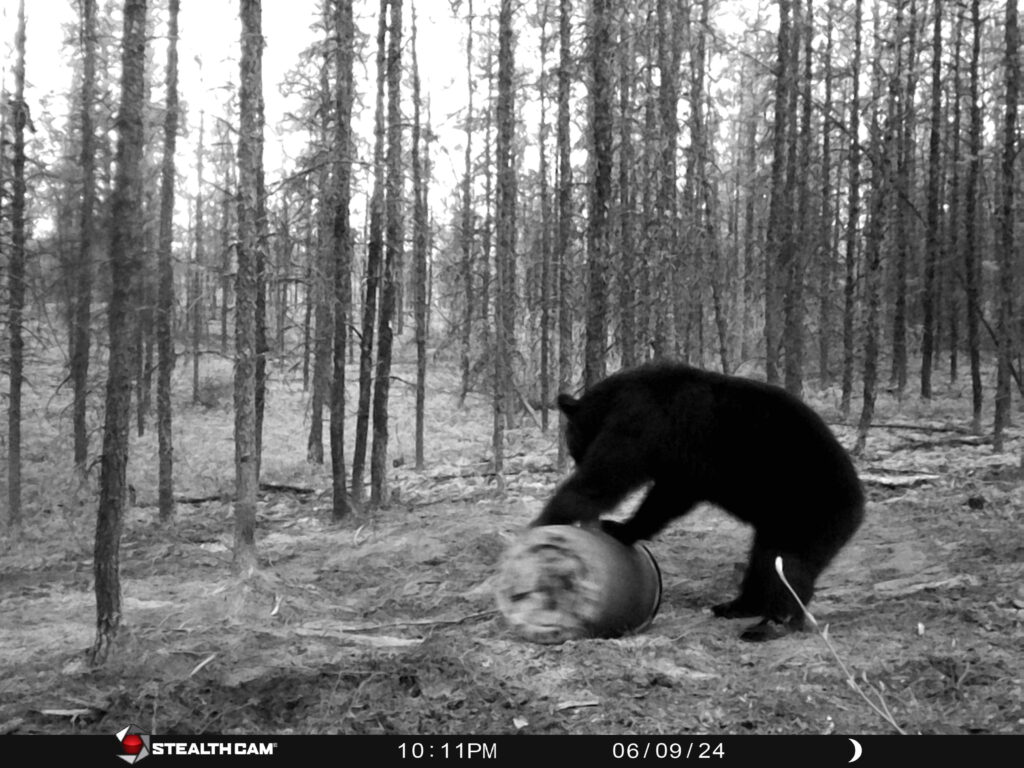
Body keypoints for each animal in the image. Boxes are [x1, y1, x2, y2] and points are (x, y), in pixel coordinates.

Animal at [530, 362, 864, 642]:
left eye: (572, 445)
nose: (574, 459)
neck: (615, 398)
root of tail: (858, 503)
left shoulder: (645, 422)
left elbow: (607, 479)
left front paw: (559, 523)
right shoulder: (681, 466)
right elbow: (669, 497)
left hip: (807, 510)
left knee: (788, 565)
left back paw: (771, 624)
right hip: (779, 521)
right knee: (764, 557)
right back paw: (737, 605)